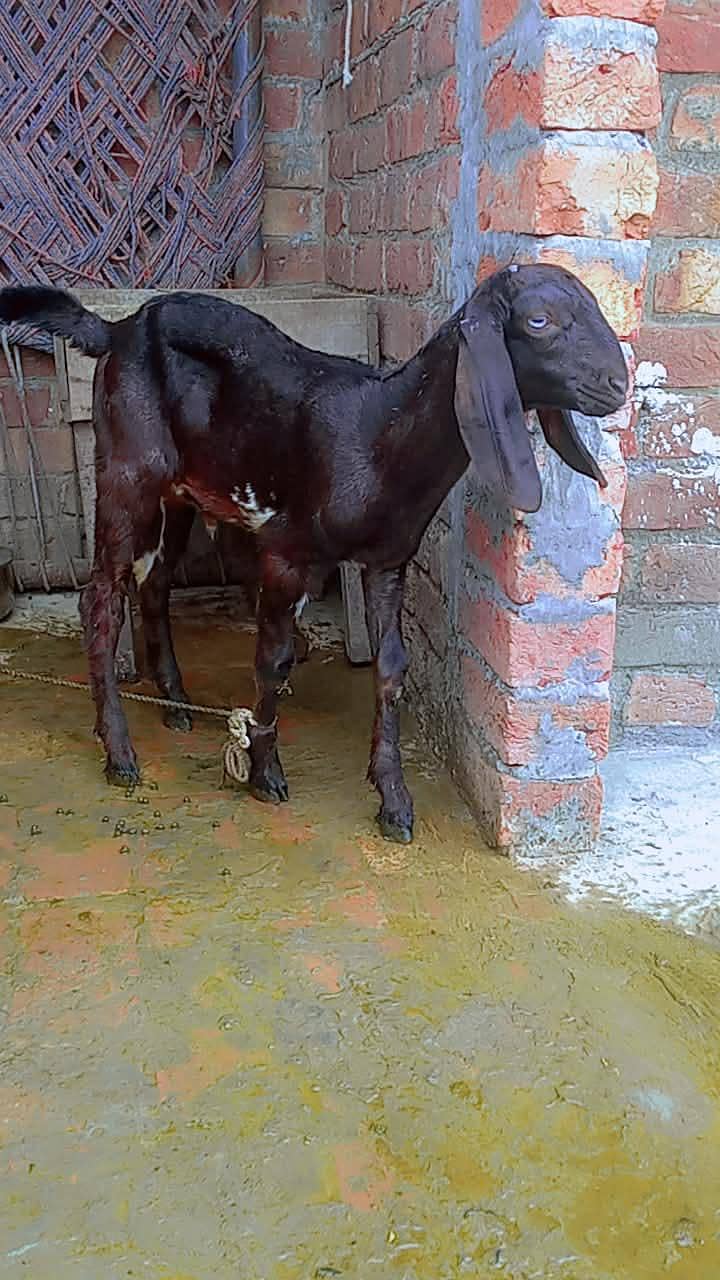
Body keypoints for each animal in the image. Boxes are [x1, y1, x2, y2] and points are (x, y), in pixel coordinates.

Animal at [0, 265, 628, 843]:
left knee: (154, 581)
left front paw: (394, 801)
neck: (379, 432)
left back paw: (175, 703)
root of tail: (116, 330)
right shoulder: (286, 551)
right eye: (539, 321)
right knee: (102, 596)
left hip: (179, 490)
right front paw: (263, 771)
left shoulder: (387, 560)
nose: (617, 384)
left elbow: (392, 667)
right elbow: (272, 660)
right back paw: (120, 752)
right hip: (127, 471)